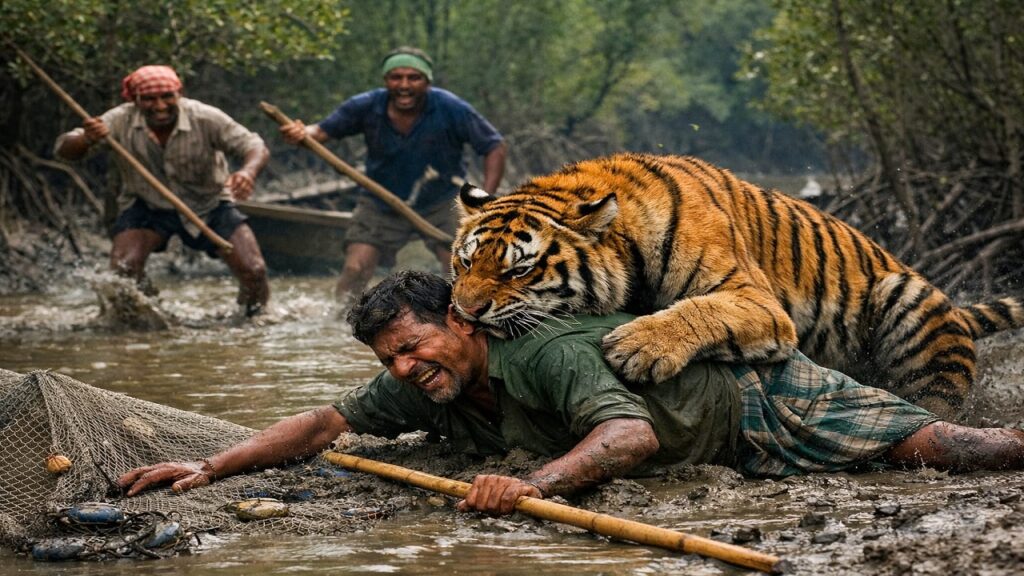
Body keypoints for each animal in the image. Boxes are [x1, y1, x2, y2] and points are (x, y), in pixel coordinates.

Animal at [450, 152, 1024, 420]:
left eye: (517, 270)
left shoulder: (755, 298)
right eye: (464, 263)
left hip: (905, 298)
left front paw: (639, 347)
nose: (465, 312)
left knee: (934, 402)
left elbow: (700, 310)